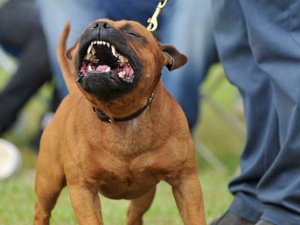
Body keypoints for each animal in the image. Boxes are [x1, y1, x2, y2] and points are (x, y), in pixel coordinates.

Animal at [33, 18, 206, 224]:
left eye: (133, 33)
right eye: (88, 28)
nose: (99, 25)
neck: (123, 116)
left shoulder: (186, 181)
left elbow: (195, 217)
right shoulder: (82, 188)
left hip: (145, 193)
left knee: (134, 214)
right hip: (48, 182)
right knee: (42, 211)